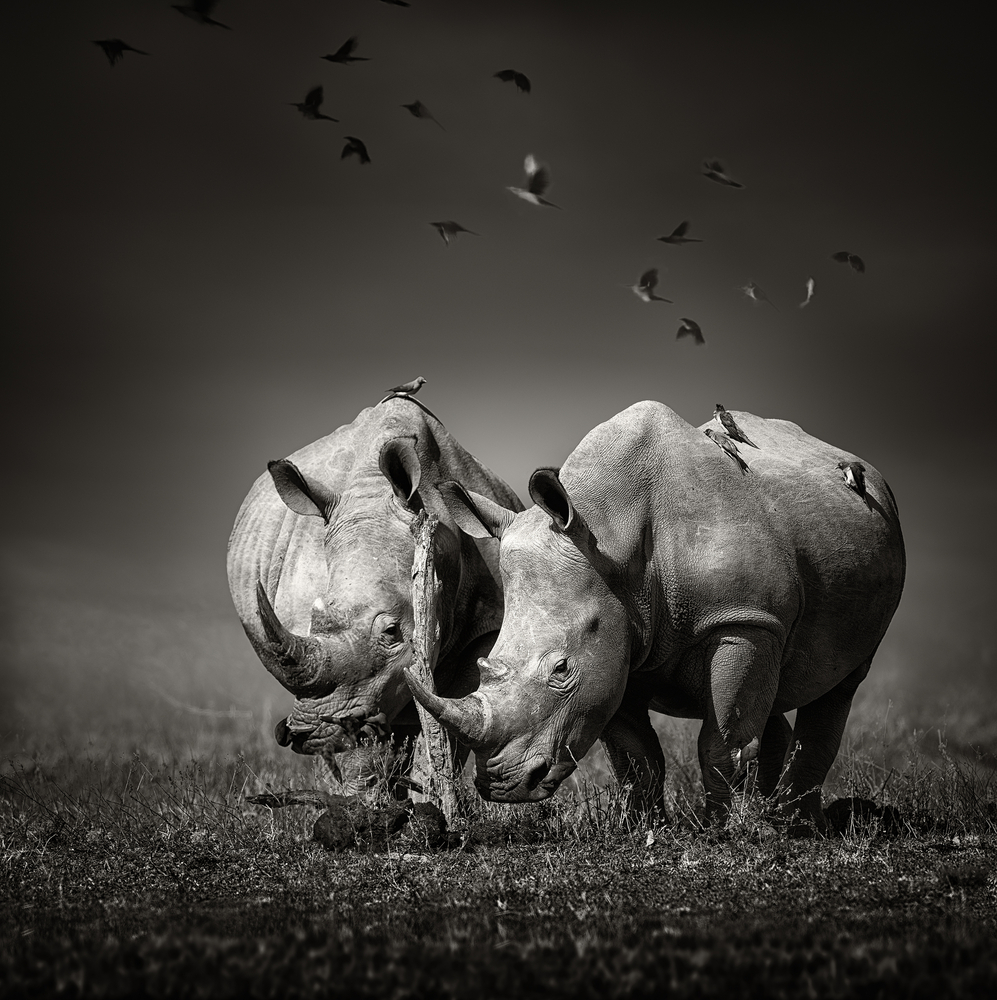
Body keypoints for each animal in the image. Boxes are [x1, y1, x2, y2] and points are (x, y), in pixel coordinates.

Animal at [226, 396, 523, 783]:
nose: (307, 732)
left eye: (393, 631)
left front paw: (431, 784)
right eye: (313, 620)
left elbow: (453, 715)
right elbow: (362, 747)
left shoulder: (487, 621)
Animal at [407, 401, 905, 830]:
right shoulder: (618, 637)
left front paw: (721, 833)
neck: (608, 534)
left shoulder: (743, 619)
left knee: (840, 686)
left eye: (562, 669)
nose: (501, 785)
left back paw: (799, 827)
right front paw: (643, 829)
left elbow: (721, 742)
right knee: (774, 694)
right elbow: (636, 756)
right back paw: (774, 817)